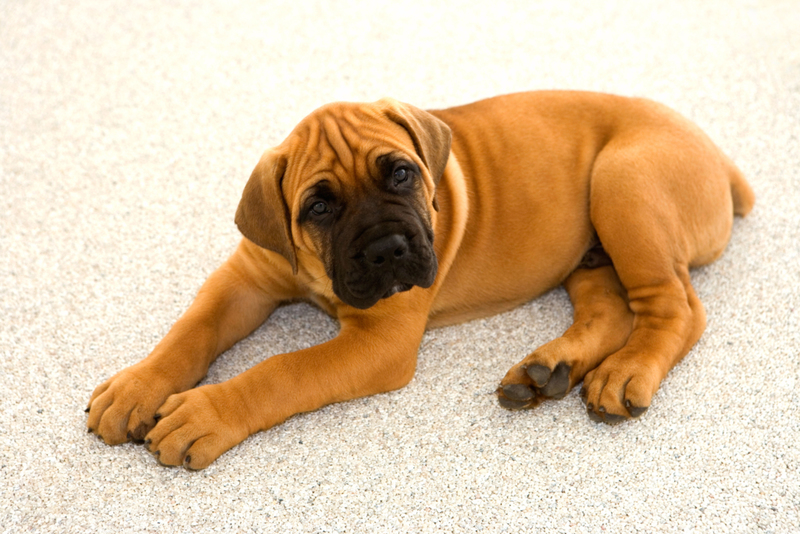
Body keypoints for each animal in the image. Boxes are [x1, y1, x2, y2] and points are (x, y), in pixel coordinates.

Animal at [87, 94, 756, 472]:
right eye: (318, 207)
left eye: (402, 173)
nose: (388, 249)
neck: (319, 272)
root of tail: (718, 157)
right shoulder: (243, 279)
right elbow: (191, 328)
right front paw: (137, 387)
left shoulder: (378, 342)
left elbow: (281, 371)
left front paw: (205, 412)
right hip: (588, 254)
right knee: (611, 311)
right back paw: (548, 370)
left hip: (624, 184)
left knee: (677, 309)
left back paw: (625, 372)